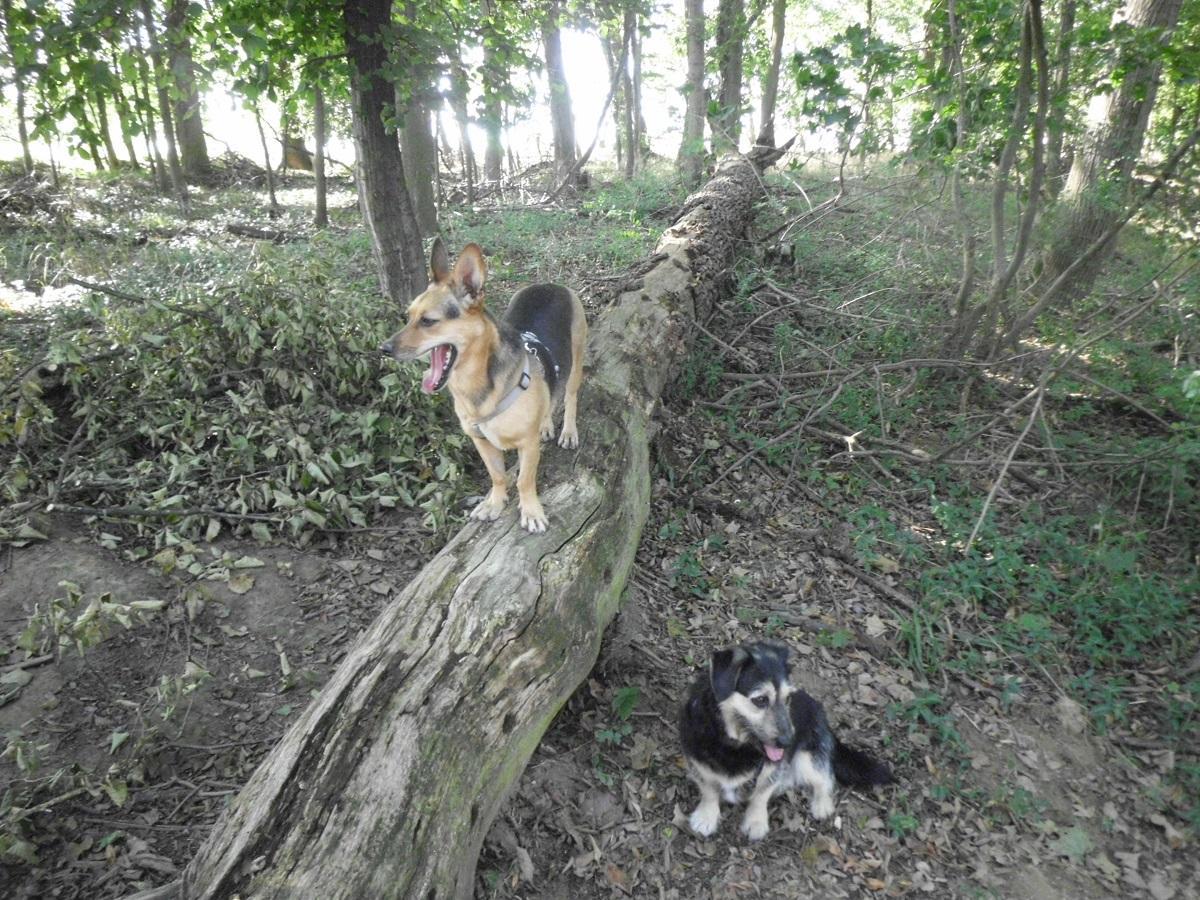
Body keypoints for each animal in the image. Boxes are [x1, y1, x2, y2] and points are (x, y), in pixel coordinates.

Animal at [379, 240, 585, 535]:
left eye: (428, 321)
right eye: (408, 317)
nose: (383, 349)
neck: (475, 384)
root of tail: (548, 284)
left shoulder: (527, 445)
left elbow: (524, 480)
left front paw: (531, 511)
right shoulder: (481, 441)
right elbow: (497, 476)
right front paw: (494, 503)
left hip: (576, 360)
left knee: (569, 396)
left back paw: (568, 431)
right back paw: (546, 424)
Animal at [681, 643, 897, 844]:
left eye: (788, 698)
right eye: (760, 700)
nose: (788, 742)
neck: (736, 746)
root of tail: (822, 714)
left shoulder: (774, 767)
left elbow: (761, 794)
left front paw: (756, 822)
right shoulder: (699, 764)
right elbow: (709, 790)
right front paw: (706, 817)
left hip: (808, 757)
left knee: (825, 776)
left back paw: (822, 805)